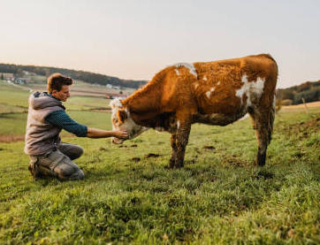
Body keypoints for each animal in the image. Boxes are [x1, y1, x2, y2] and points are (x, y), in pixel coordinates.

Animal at [110, 54, 278, 168]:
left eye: (116, 120)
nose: (113, 139)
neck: (166, 87)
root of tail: (262, 55)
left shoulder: (184, 114)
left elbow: (181, 142)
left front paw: (178, 166)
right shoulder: (174, 119)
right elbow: (173, 143)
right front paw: (171, 165)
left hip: (262, 107)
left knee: (263, 135)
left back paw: (259, 164)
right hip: (253, 110)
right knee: (259, 134)